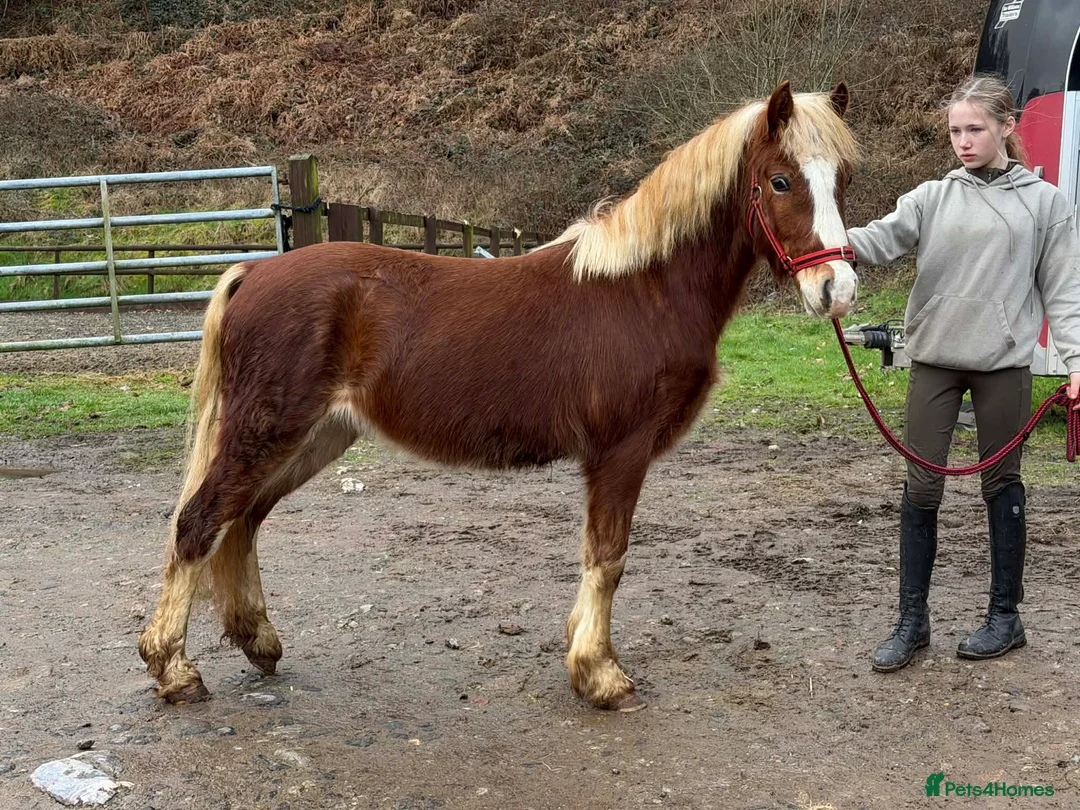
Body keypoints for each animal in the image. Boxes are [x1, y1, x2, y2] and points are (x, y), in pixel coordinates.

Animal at [139, 81, 860, 712]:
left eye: (842, 181)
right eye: (781, 181)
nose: (838, 290)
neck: (643, 290)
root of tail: (254, 271)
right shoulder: (620, 454)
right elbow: (609, 557)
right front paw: (601, 677)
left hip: (314, 437)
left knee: (241, 522)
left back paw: (257, 643)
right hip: (268, 430)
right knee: (200, 522)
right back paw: (175, 670)